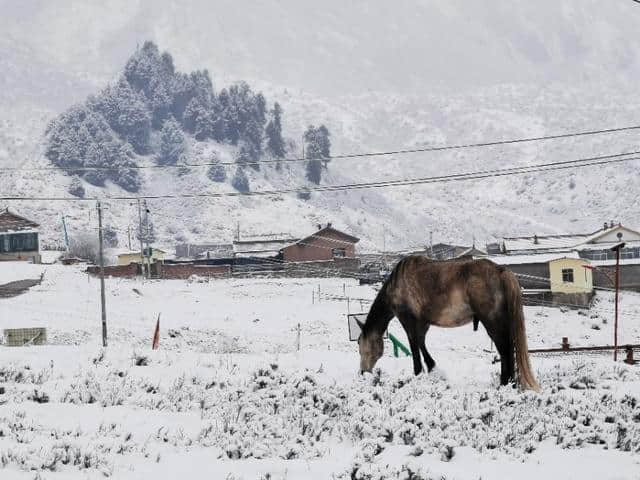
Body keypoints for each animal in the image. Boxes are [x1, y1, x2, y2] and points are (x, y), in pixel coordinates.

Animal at [358, 255, 536, 390]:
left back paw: (505, 383)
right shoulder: (423, 323)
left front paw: (417, 373)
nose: (362, 373)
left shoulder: (408, 320)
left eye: (361, 346)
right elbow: (421, 343)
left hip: (493, 323)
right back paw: (511, 383)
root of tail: (500, 271)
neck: (397, 283)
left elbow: (414, 347)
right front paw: (431, 367)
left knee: (505, 351)